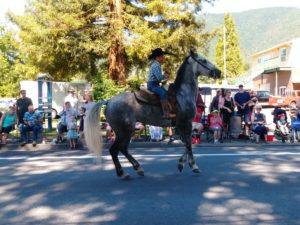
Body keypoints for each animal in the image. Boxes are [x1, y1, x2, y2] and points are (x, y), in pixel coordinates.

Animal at [84, 50, 220, 178]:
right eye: (203, 60)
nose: (218, 72)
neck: (182, 94)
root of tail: (109, 101)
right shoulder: (186, 123)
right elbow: (189, 144)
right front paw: (193, 166)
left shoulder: (181, 125)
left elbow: (187, 144)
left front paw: (181, 164)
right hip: (124, 131)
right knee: (114, 150)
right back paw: (123, 173)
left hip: (126, 131)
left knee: (123, 149)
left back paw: (138, 168)